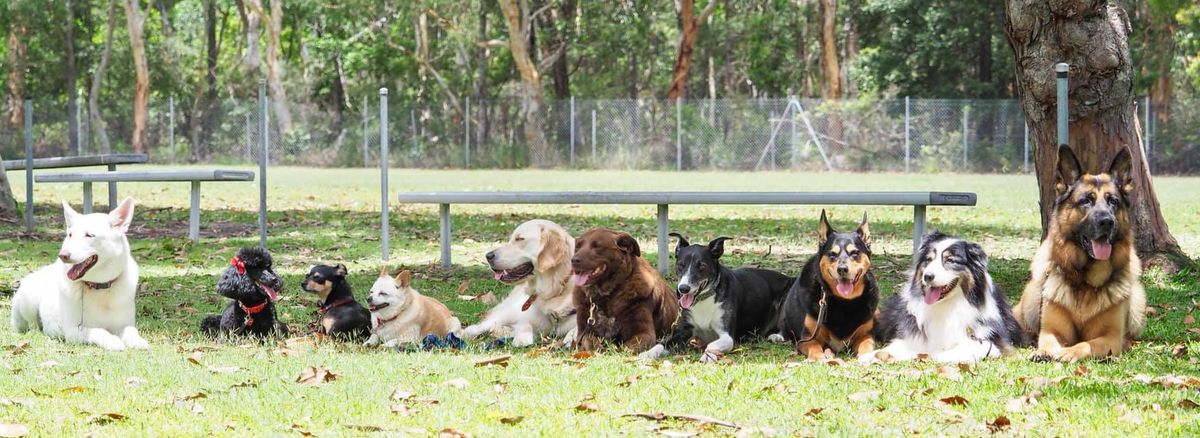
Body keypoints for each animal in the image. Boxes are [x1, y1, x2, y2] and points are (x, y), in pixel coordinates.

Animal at [9, 196, 147, 350]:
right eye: (70, 235)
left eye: (89, 235)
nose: (62, 255)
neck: (99, 287)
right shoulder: (74, 331)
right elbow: (99, 331)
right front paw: (113, 341)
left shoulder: (124, 325)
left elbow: (131, 331)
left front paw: (137, 341)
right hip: (28, 303)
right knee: (32, 325)